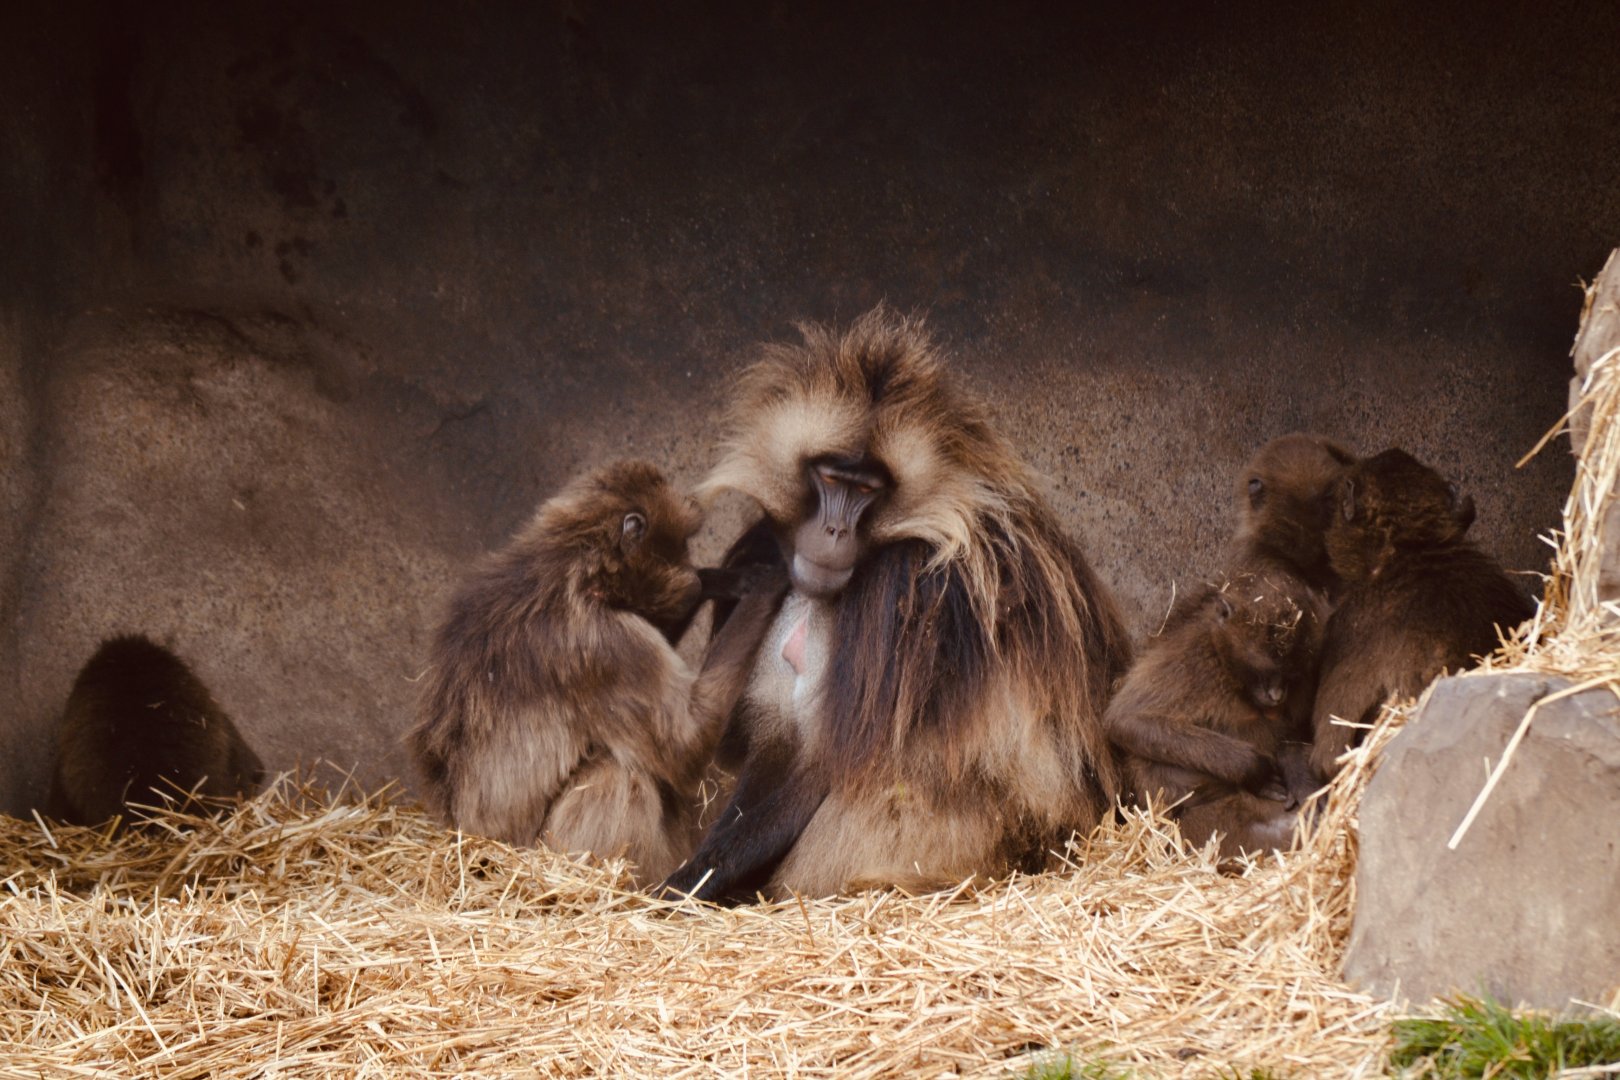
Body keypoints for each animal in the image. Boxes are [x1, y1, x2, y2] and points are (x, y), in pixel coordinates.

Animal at [404, 459, 786, 885]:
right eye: (683, 545)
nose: (689, 573)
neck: (572, 565)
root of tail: (468, 843)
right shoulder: (606, 644)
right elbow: (686, 744)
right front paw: (766, 584)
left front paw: (716, 580)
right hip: (538, 853)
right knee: (617, 772)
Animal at [660, 306, 1135, 904]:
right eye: (830, 478)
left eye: (867, 490)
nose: (834, 531)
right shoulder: (768, 552)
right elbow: (771, 745)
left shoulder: (902, 588)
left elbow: (826, 767)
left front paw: (679, 889)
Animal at [1106, 573, 1325, 857]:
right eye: (1265, 671)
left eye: (1291, 673)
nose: (1277, 695)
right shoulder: (1193, 658)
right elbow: (1127, 720)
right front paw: (1254, 769)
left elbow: (1296, 733)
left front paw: (1298, 775)